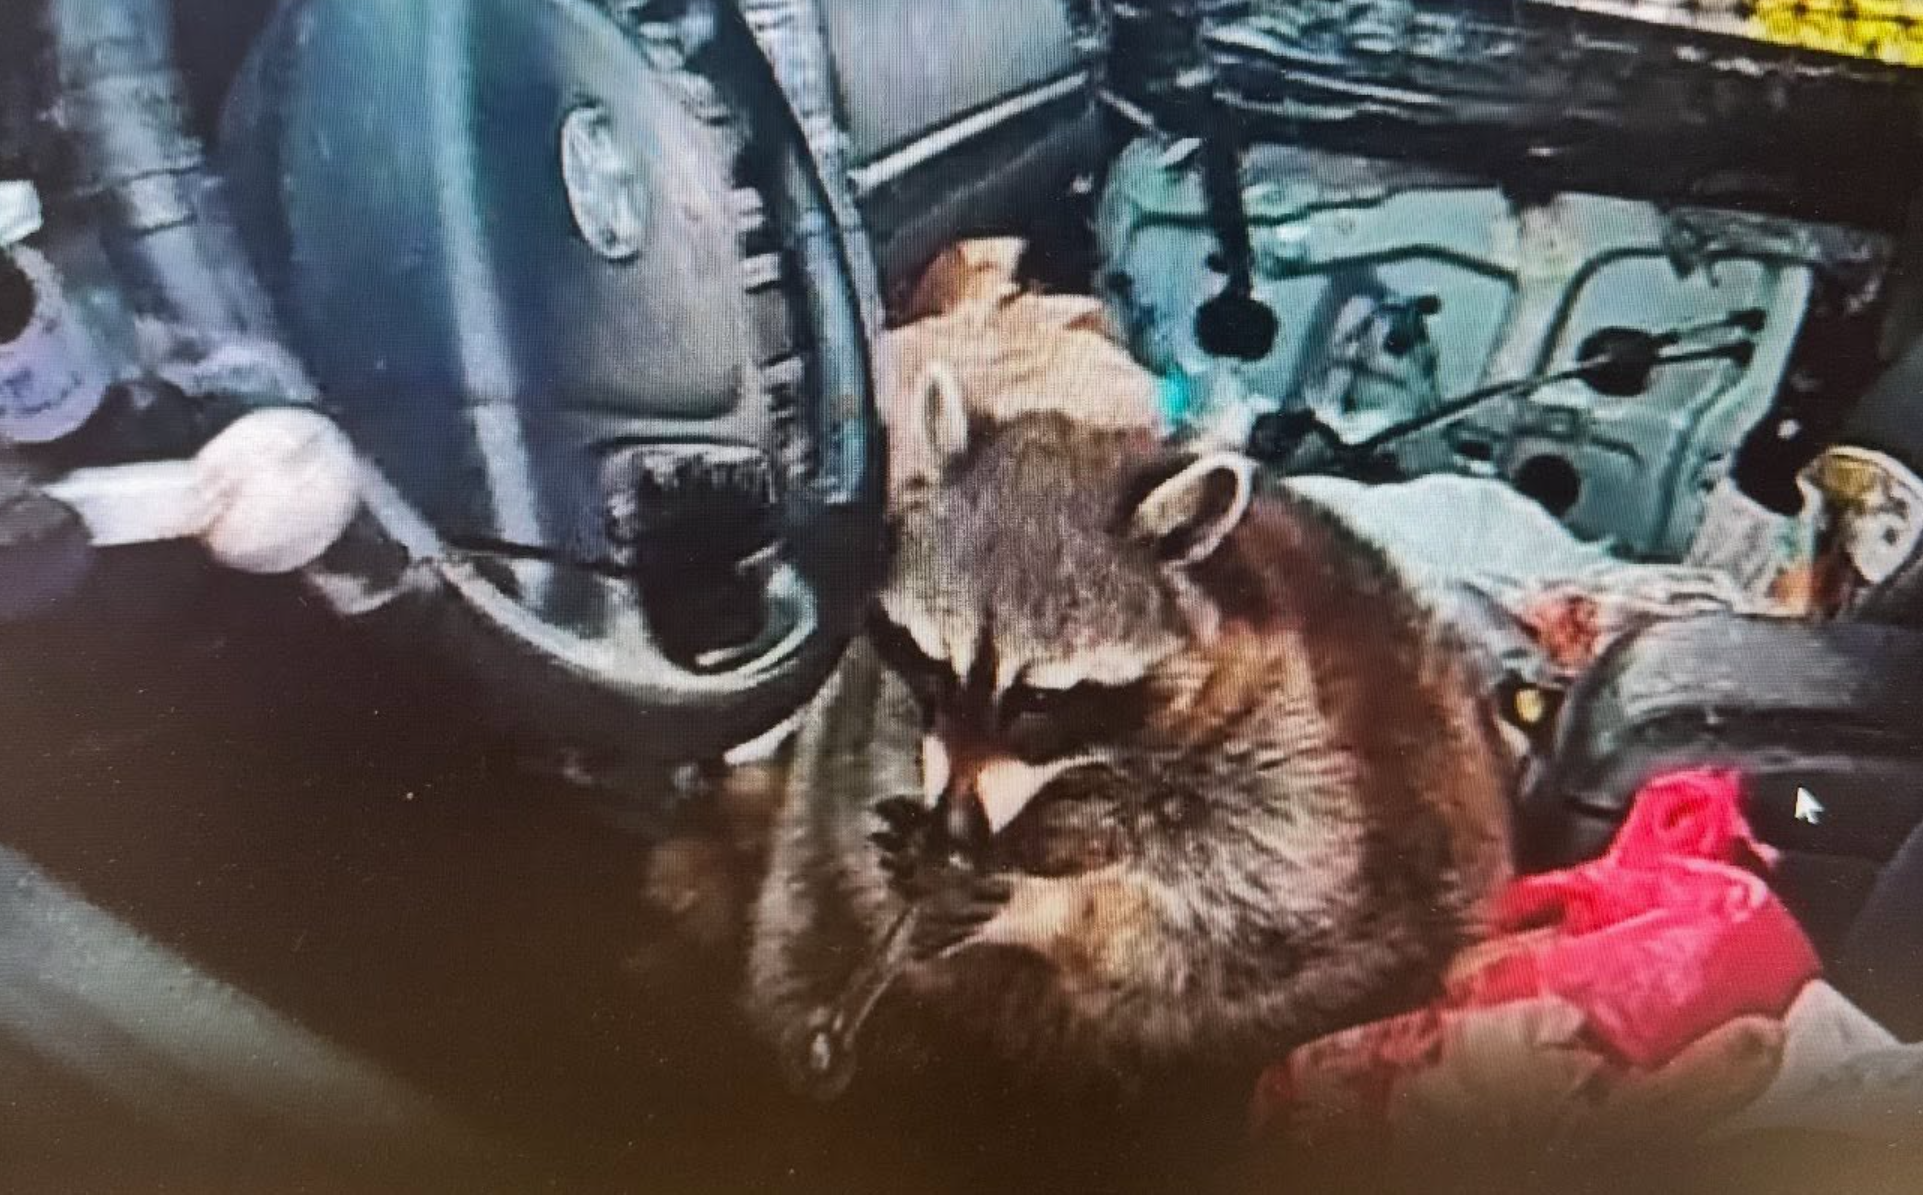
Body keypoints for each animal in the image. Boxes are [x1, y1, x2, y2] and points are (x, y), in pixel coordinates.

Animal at [744, 368, 1514, 1110]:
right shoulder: (878, 708)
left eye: (1040, 699)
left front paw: (1047, 899)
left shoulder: (1299, 747)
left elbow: (1239, 905)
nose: (957, 830)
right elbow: (869, 780)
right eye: (934, 662)